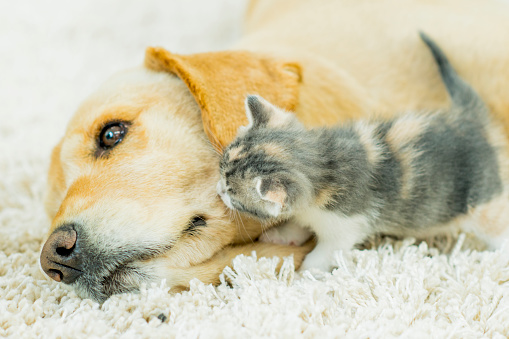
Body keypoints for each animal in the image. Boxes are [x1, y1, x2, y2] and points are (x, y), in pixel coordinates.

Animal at [215, 33, 508, 272]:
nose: (218, 190)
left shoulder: (346, 226)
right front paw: (283, 234)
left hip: (482, 203)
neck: (324, 162)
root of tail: (469, 121)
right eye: (221, 171)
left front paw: (303, 275)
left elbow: (324, 254)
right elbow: (298, 222)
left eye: (231, 192)